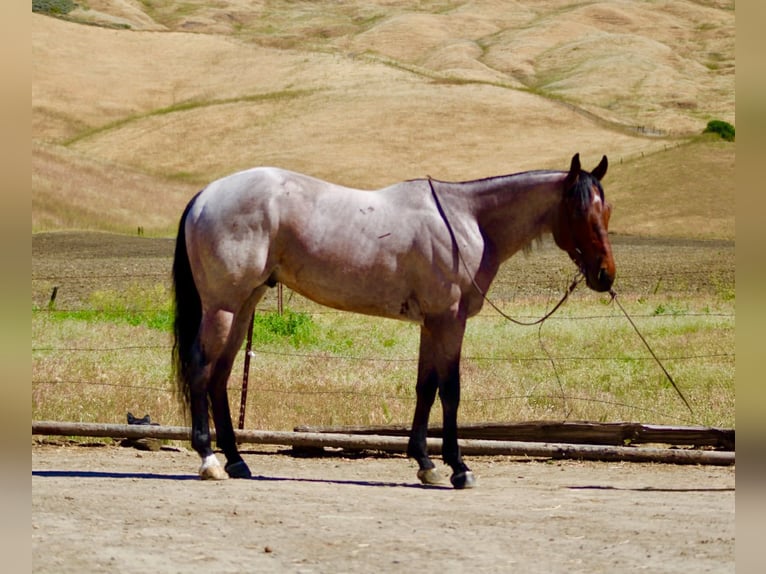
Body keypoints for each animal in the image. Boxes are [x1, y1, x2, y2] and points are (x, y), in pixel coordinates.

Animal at [172, 153, 615, 488]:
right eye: (579, 209)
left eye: (606, 209)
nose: (606, 275)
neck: (467, 220)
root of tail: (206, 196)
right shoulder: (449, 321)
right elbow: (450, 391)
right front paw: (458, 468)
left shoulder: (431, 324)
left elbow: (425, 388)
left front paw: (426, 464)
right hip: (223, 307)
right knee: (201, 369)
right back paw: (209, 460)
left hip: (245, 304)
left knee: (220, 376)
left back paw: (236, 461)